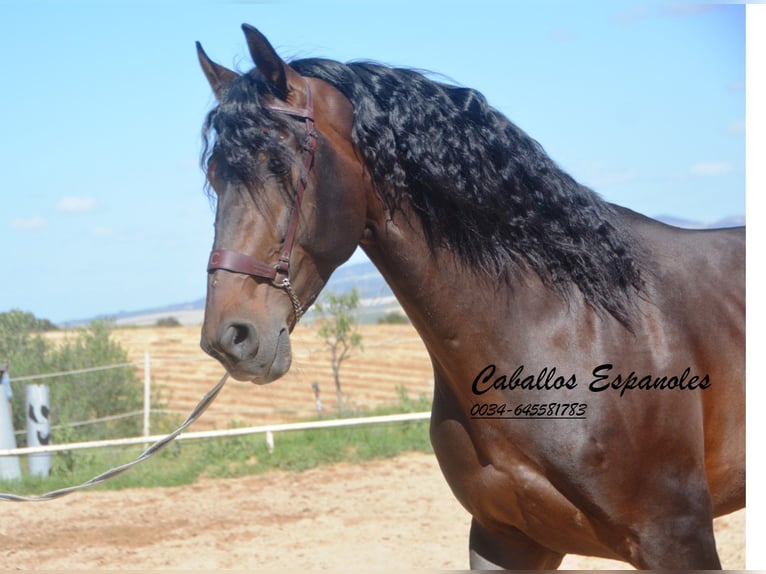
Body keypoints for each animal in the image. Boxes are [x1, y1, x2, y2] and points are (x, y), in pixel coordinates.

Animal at [195, 25, 748, 572]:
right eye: (215, 175)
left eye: (278, 161)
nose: (231, 338)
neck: (570, 327)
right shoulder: (506, 539)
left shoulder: (676, 539)